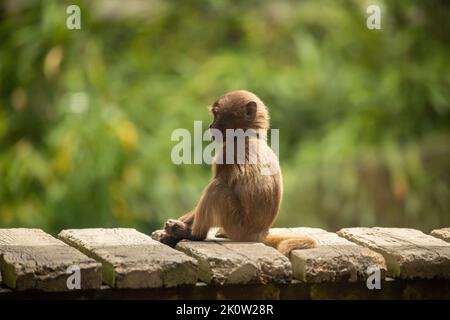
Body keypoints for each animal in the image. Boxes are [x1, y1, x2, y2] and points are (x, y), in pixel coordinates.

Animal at [155, 91, 316, 256]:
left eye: (217, 115)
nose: (211, 126)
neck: (249, 135)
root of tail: (259, 233)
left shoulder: (226, 153)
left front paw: (177, 231)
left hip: (237, 225)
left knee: (217, 188)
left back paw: (195, 235)